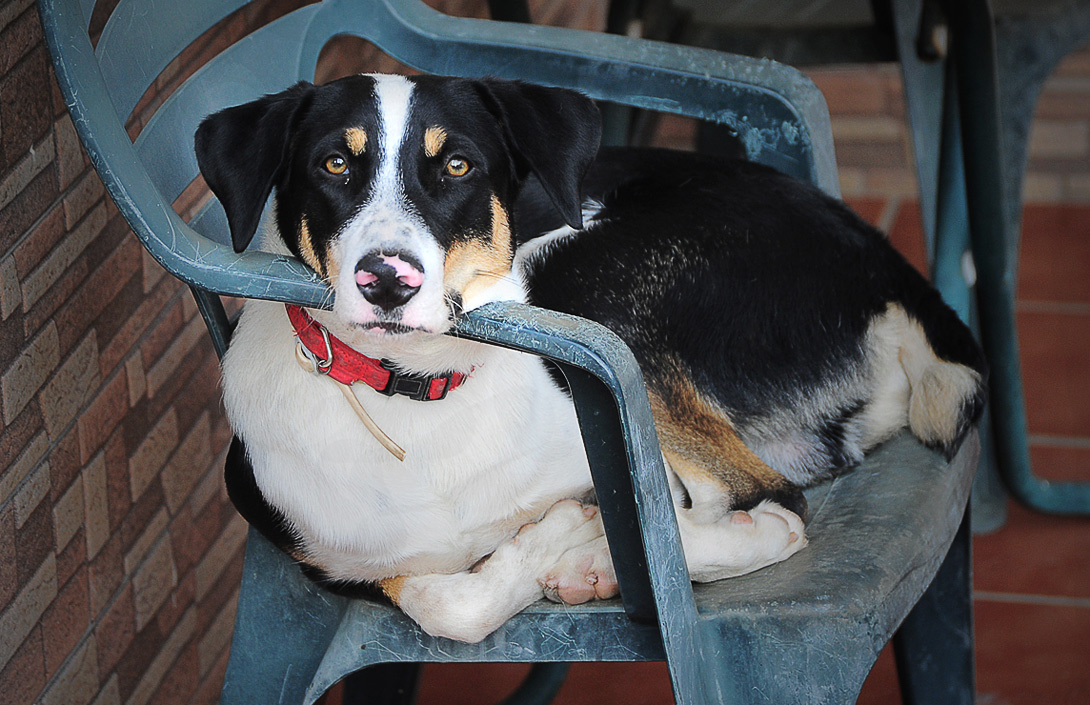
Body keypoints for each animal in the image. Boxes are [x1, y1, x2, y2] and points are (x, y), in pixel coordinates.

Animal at [196, 73, 989, 645]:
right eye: (334, 163)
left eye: (457, 165)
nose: (386, 280)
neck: (422, 392)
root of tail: (886, 263)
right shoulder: (333, 558)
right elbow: (447, 600)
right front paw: (552, 543)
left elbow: (697, 525)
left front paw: (572, 536)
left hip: (585, 276)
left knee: (767, 499)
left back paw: (592, 559)